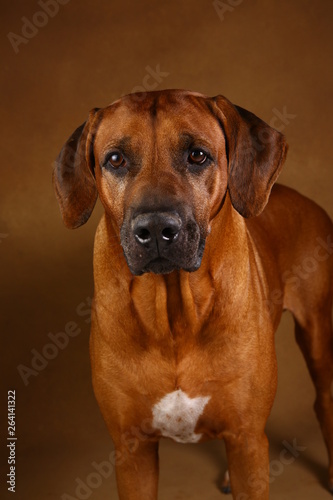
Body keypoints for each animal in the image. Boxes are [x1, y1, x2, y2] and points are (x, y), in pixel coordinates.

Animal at [52, 91, 332, 500]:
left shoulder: (248, 438)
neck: (173, 308)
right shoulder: (132, 449)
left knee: (325, 400)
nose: (155, 229)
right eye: (116, 159)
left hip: (319, 334)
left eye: (197, 155)